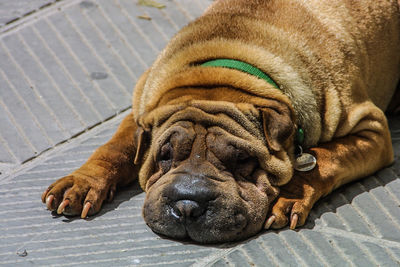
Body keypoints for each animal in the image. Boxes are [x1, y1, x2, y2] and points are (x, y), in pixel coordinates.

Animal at [41, 0, 400, 244]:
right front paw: (82, 182)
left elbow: (324, 159)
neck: (226, 69)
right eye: (164, 156)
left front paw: (290, 194)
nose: (187, 205)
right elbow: (116, 147)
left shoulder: (372, 129)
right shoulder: (143, 106)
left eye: (242, 160)